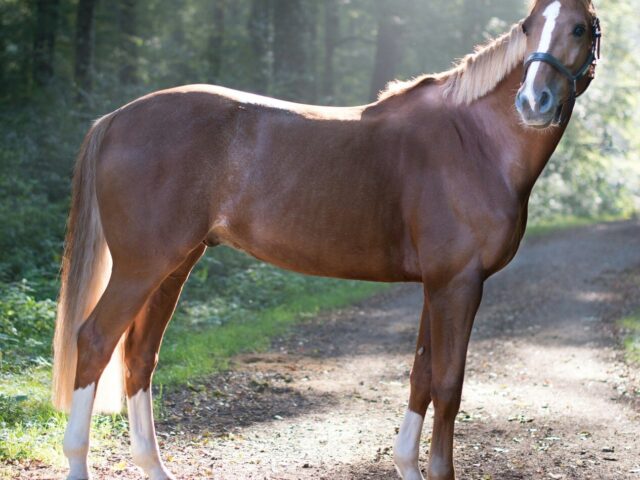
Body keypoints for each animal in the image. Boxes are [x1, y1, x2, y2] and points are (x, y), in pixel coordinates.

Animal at [52, 1, 601, 478]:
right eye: (529, 27)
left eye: (578, 28)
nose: (533, 102)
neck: (476, 140)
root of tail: (115, 119)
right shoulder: (460, 284)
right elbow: (448, 385)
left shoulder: (438, 285)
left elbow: (420, 376)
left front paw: (407, 466)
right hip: (141, 267)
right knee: (95, 340)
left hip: (173, 266)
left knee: (139, 357)